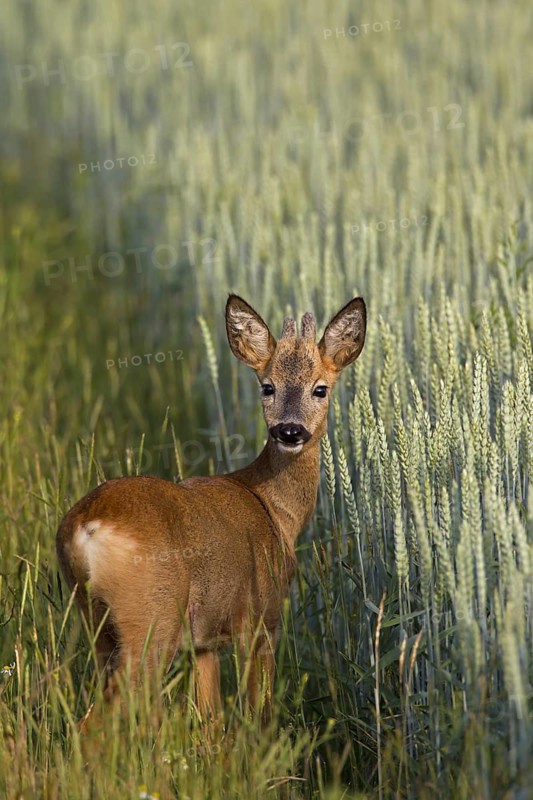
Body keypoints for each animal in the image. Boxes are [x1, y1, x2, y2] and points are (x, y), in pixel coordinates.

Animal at [56, 293, 366, 732]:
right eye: (267, 387)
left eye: (319, 389)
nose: (289, 431)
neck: (275, 512)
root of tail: (88, 525)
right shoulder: (261, 620)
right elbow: (260, 713)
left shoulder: (202, 644)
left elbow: (210, 721)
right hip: (150, 621)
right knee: (97, 721)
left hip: (94, 620)